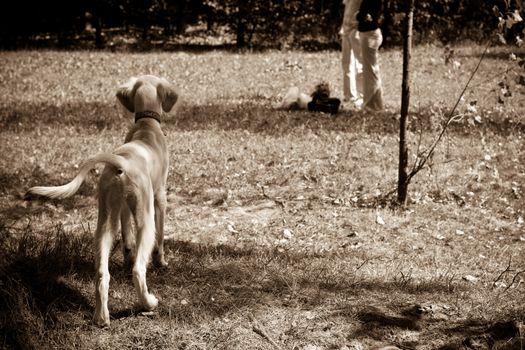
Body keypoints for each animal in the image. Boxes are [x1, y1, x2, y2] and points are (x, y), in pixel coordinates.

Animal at [26, 74, 178, 328]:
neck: (145, 126)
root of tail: (123, 161)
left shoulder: (124, 209)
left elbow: (127, 242)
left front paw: (126, 257)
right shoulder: (160, 197)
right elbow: (160, 239)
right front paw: (161, 262)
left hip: (105, 220)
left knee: (101, 274)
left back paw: (101, 317)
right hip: (145, 218)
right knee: (139, 269)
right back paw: (148, 303)